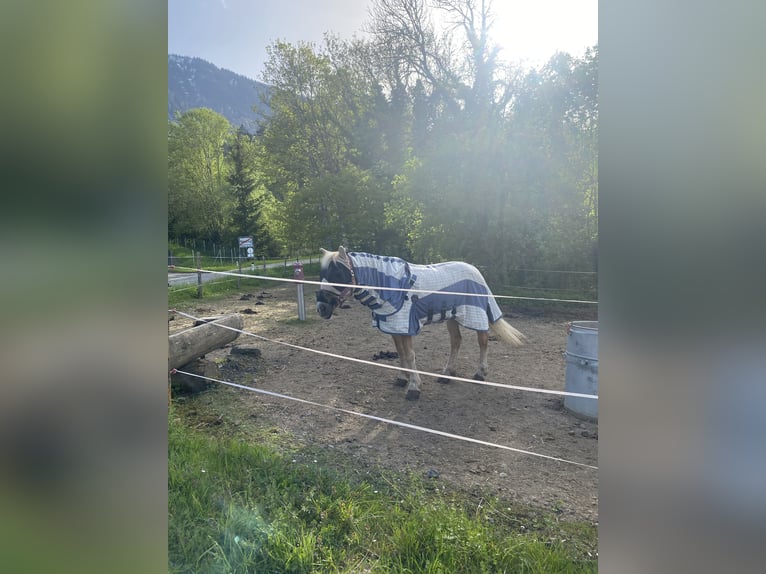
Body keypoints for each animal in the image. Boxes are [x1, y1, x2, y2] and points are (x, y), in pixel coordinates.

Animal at [316, 246, 528, 400]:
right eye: (322, 274)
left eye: (338, 274)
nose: (321, 308)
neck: (392, 287)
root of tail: (476, 271)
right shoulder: (395, 326)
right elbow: (401, 353)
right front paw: (403, 379)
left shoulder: (406, 326)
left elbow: (410, 355)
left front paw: (414, 388)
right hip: (452, 317)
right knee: (456, 341)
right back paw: (446, 374)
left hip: (475, 315)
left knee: (482, 341)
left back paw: (480, 374)